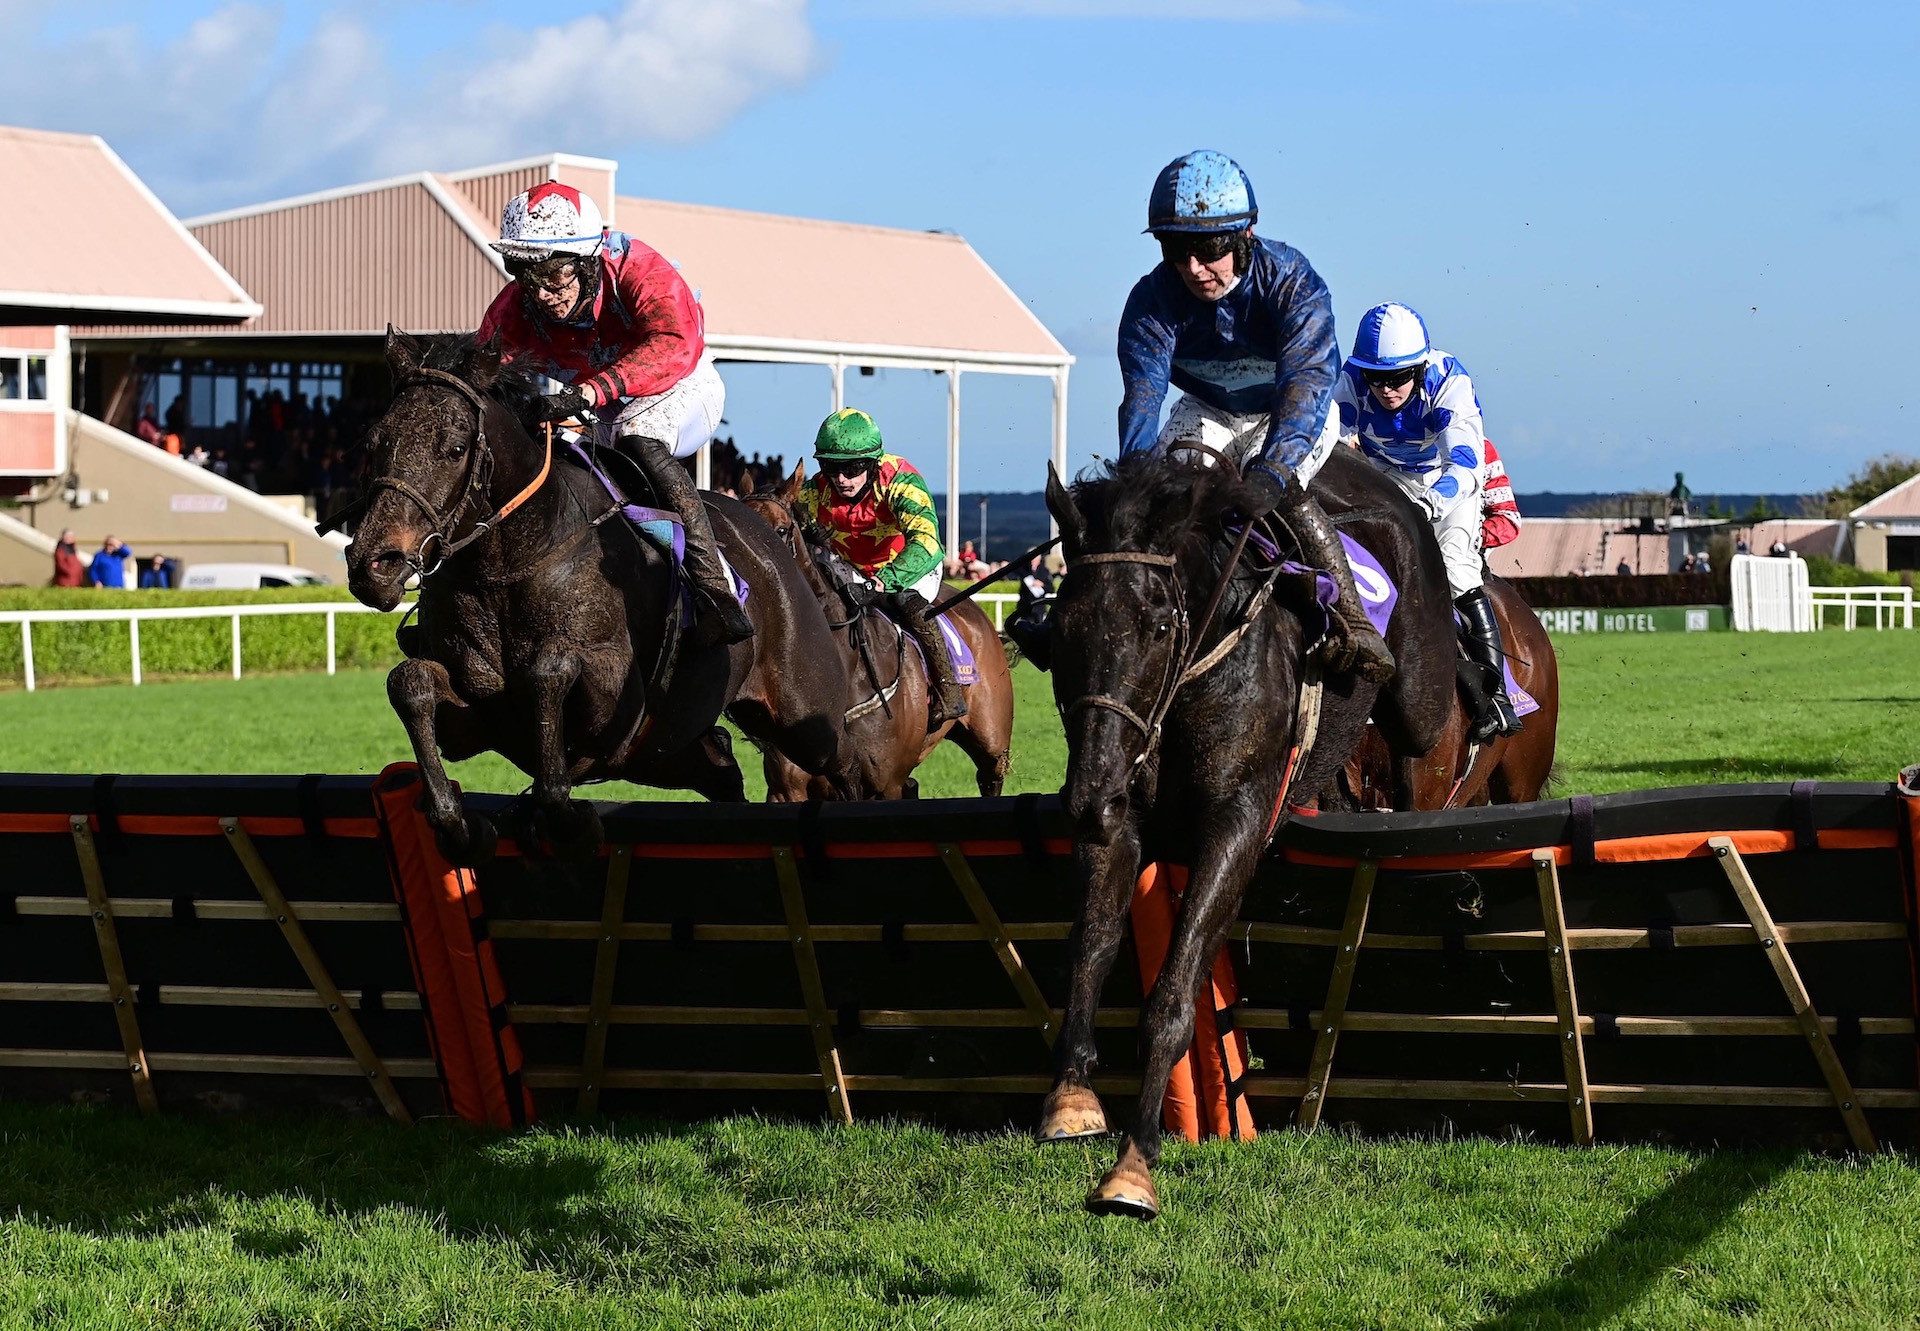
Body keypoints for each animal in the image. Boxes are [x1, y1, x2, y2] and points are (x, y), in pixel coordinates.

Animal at [347, 326, 856, 856]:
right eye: (374, 442)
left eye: (454, 446)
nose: (374, 565)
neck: (511, 563)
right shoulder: (479, 717)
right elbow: (410, 683)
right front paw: (455, 819)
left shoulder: (615, 696)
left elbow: (550, 668)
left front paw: (566, 818)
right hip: (665, 751)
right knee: (721, 765)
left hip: (805, 717)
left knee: (845, 764)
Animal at [1044, 451, 1443, 1221]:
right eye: (1060, 627)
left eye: (1157, 623)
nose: (1083, 798)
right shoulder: (1119, 811)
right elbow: (1089, 946)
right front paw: (1072, 1095)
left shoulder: (1235, 825)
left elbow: (1174, 993)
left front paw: (1134, 1164)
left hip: (1422, 705)